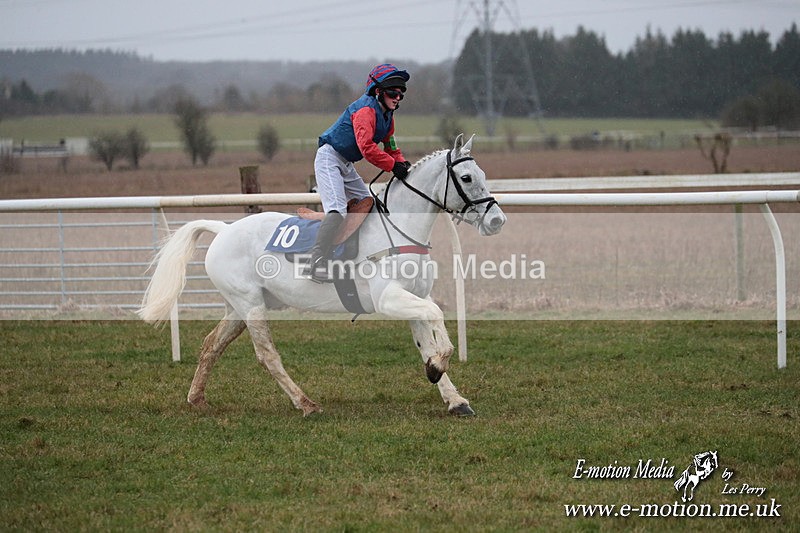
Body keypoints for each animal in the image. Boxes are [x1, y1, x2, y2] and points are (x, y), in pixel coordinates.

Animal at [137, 134, 506, 416]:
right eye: (467, 178)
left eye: (482, 173)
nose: (497, 220)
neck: (400, 229)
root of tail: (224, 229)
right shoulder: (388, 298)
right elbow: (436, 317)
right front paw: (438, 364)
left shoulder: (414, 296)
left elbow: (427, 336)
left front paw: (453, 396)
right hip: (251, 305)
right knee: (267, 355)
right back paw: (305, 403)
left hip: (238, 308)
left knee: (211, 344)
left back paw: (196, 398)